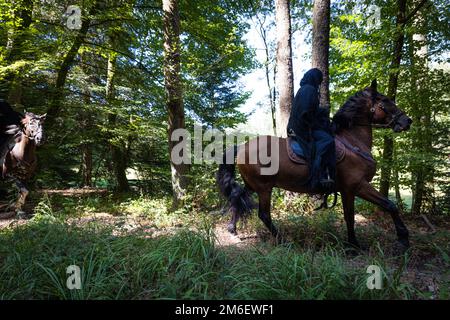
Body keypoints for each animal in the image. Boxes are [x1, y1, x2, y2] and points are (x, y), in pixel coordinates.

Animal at [216, 80, 414, 250]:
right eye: (385, 100)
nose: (407, 121)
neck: (352, 140)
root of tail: (242, 146)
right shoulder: (356, 186)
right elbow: (384, 207)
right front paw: (398, 238)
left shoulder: (348, 189)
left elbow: (354, 215)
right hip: (264, 187)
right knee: (263, 214)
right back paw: (282, 239)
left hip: (252, 184)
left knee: (237, 197)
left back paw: (232, 229)